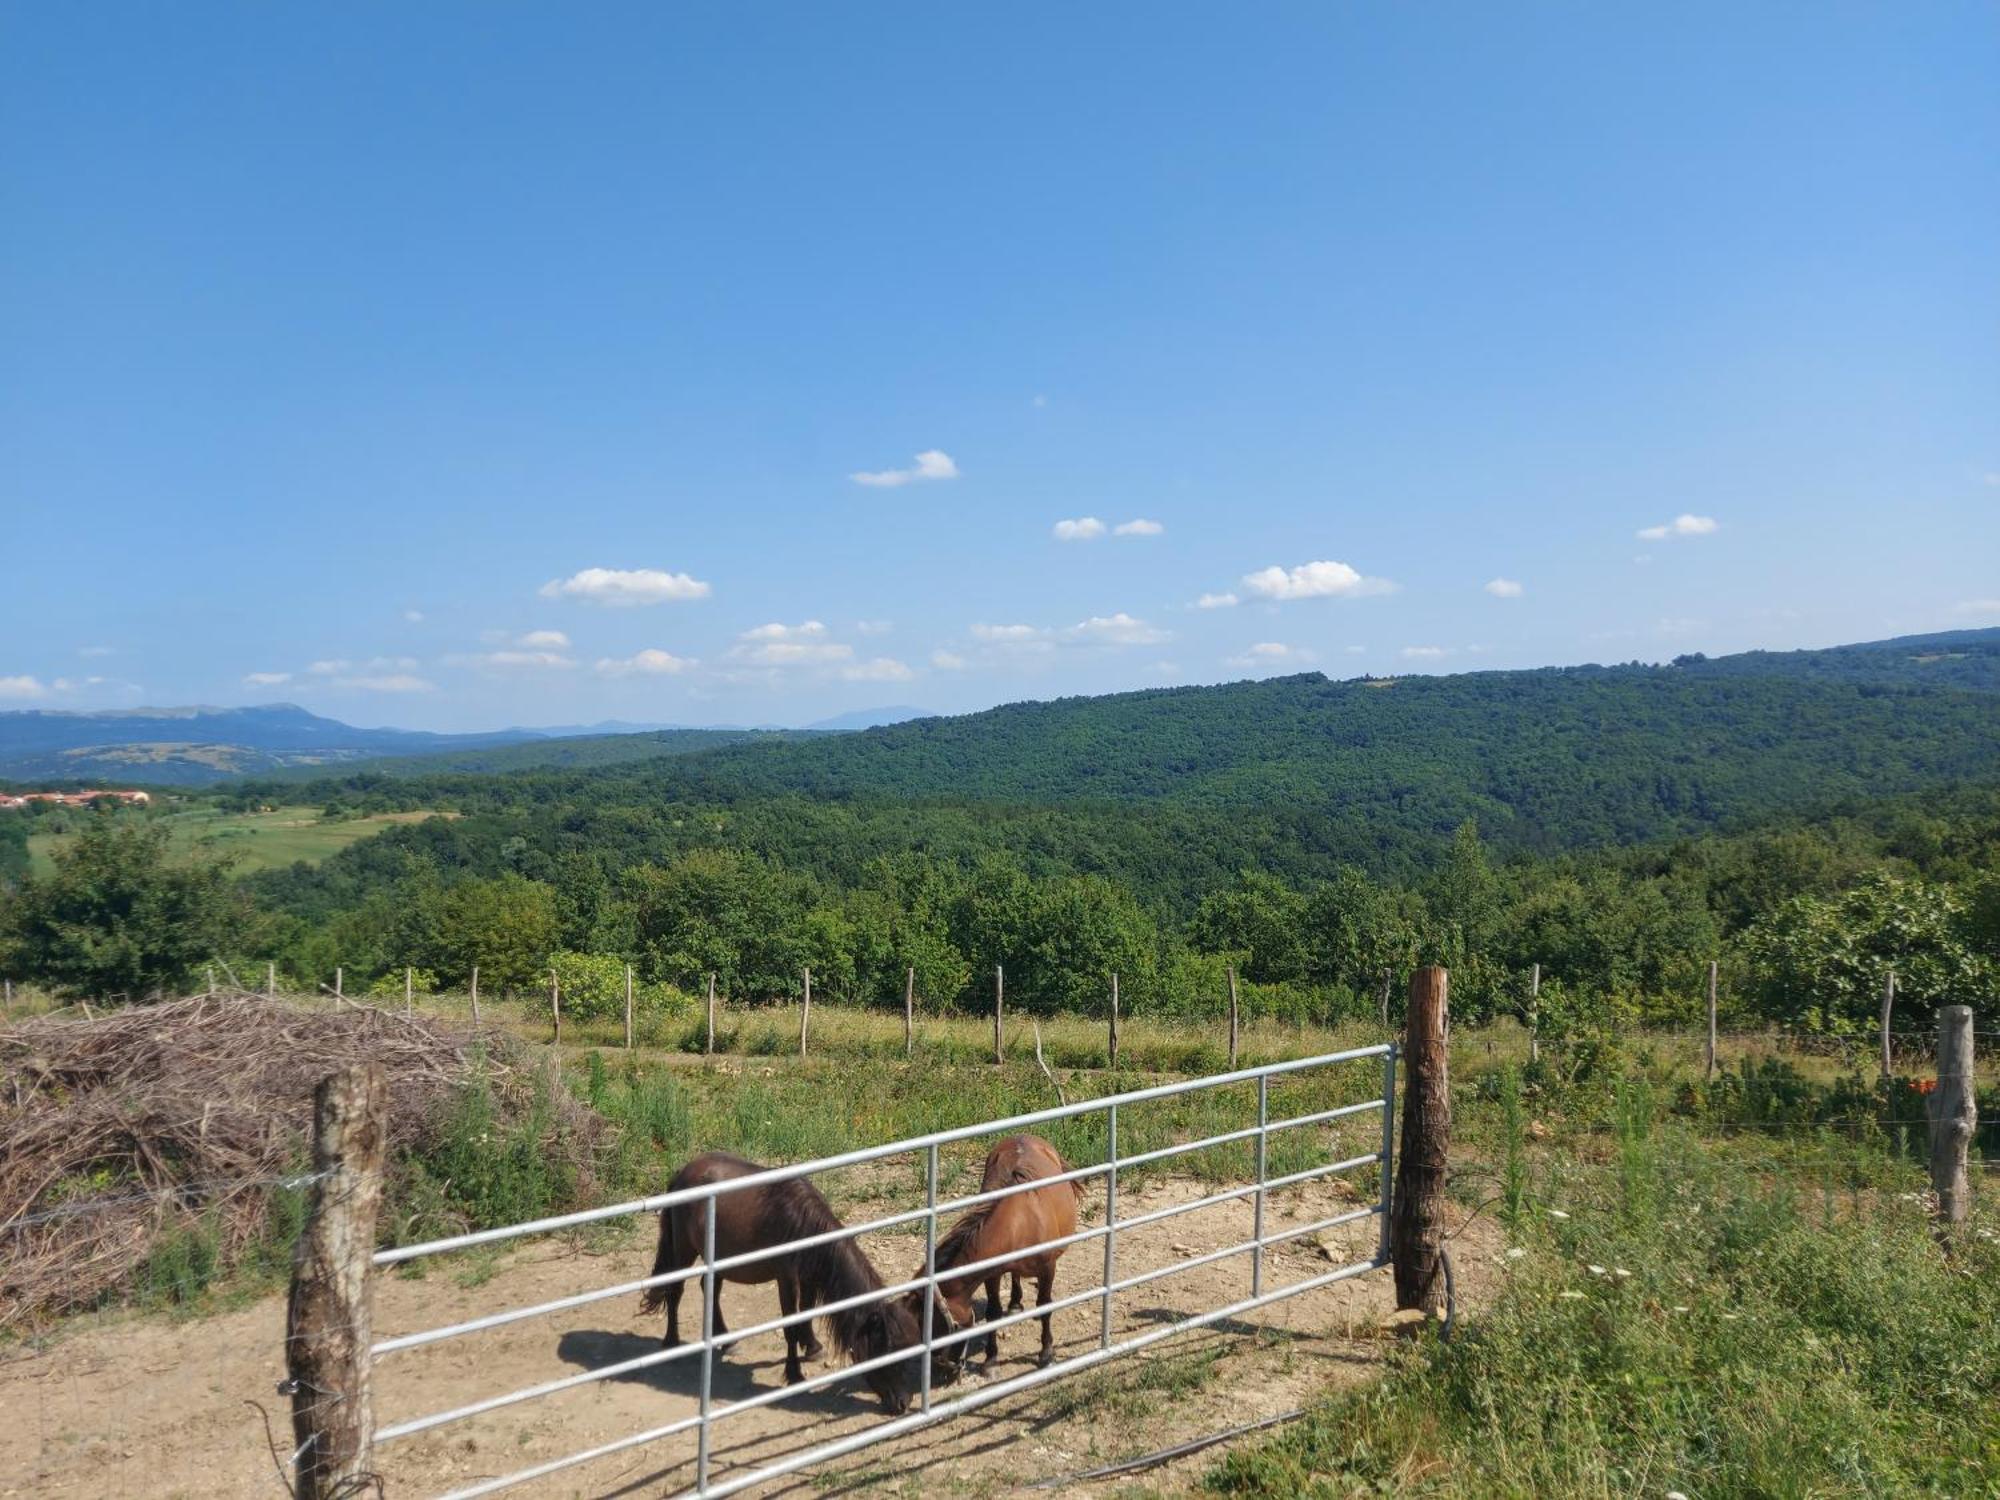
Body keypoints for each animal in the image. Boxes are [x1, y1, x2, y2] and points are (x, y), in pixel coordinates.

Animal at [636, 1160, 924, 1416]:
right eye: (886, 1350)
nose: (903, 1403)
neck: (801, 1223)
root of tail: (682, 1173)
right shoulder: (787, 1279)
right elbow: (790, 1324)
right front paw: (794, 1374)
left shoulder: (808, 1278)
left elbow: (806, 1313)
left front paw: (812, 1347)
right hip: (684, 1249)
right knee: (675, 1290)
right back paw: (672, 1343)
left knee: (710, 1290)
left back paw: (726, 1341)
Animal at [916, 1136, 1088, 1376]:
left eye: (943, 1326)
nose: (944, 1367)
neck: (1019, 1222)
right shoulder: (992, 1274)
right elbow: (993, 1313)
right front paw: (990, 1361)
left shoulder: (1048, 1268)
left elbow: (1045, 1306)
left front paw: (1046, 1354)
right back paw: (1015, 1303)